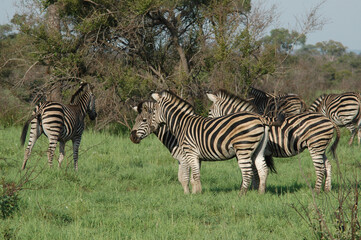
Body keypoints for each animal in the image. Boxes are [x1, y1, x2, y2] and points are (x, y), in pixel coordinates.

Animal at [150, 90, 280, 195]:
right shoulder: (195, 155)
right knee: (263, 170)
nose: (151, 127)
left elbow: (195, 175)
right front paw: (196, 192)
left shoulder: (190, 152)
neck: (182, 124)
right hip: (258, 149)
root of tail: (260, 118)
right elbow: (194, 175)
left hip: (243, 148)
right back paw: (260, 193)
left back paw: (241, 195)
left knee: (247, 172)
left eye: (153, 111)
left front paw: (197, 194)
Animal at [207, 90, 338, 193]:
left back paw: (316, 191)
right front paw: (255, 189)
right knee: (328, 165)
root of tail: (328, 120)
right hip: (321, 147)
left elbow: (253, 171)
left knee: (320, 168)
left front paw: (252, 189)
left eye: (209, 112)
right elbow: (255, 170)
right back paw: (327, 189)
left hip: (315, 146)